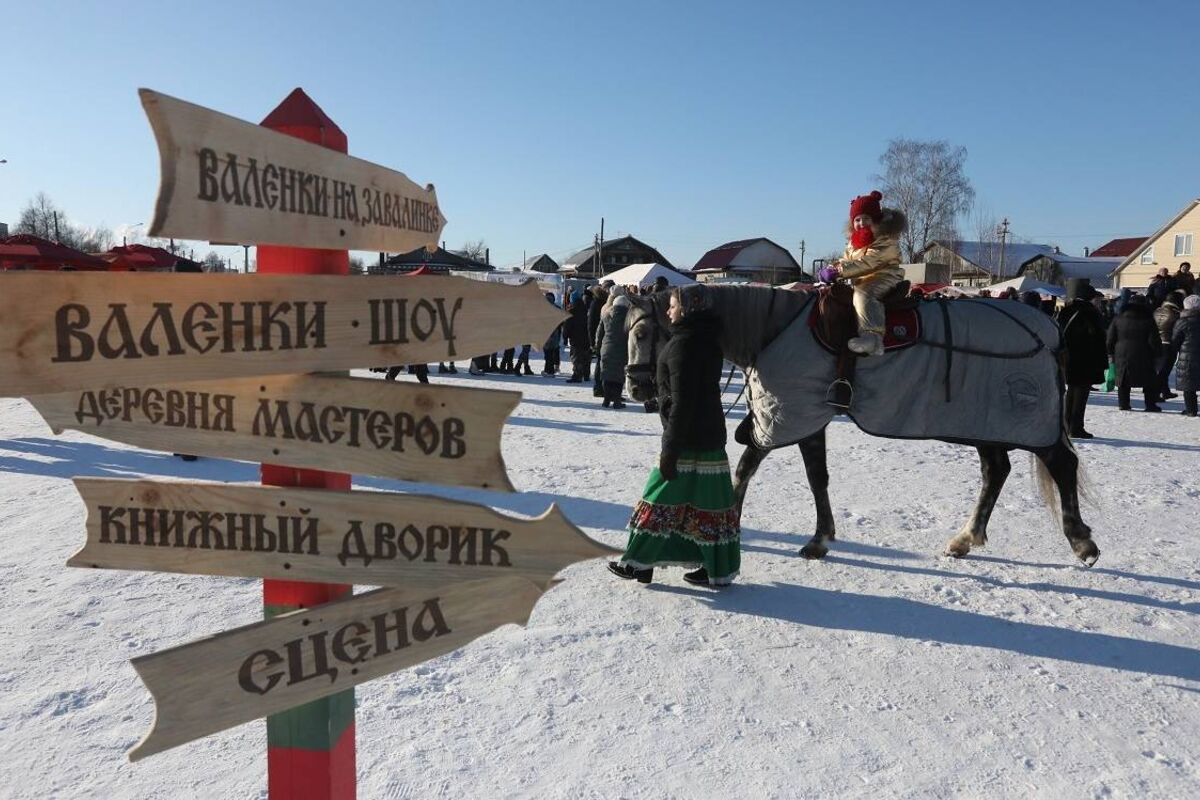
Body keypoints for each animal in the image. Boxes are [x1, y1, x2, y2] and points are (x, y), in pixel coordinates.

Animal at [624, 284, 1099, 566]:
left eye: (644, 333)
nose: (636, 385)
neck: (773, 328)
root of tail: (1047, 328)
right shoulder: (801, 417)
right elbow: (814, 477)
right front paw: (817, 535)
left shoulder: (793, 415)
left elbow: (751, 469)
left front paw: (749, 526)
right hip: (983, 423)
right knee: (996, 470)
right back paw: (965, 538)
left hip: (1018, 420)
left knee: (1061, 465)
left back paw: (1081, 541)